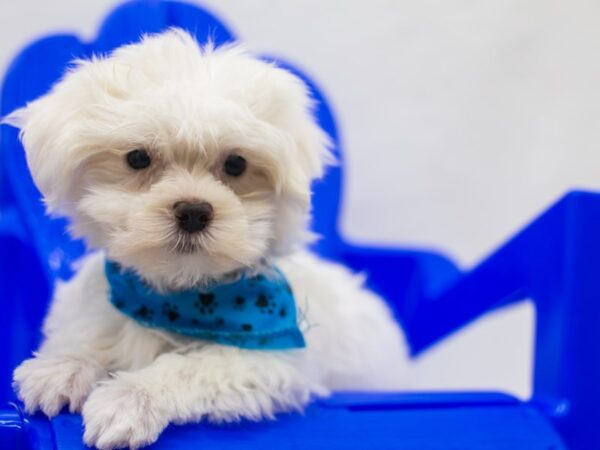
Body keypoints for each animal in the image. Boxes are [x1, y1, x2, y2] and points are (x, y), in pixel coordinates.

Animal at [5, 30, 408, 450]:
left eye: (236, 164)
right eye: (137, 158)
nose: (194, 211)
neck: (179, 297)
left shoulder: (271, 360)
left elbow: (191, 366)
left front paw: (129, 398)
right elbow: (90, 332)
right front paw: (63, 366)